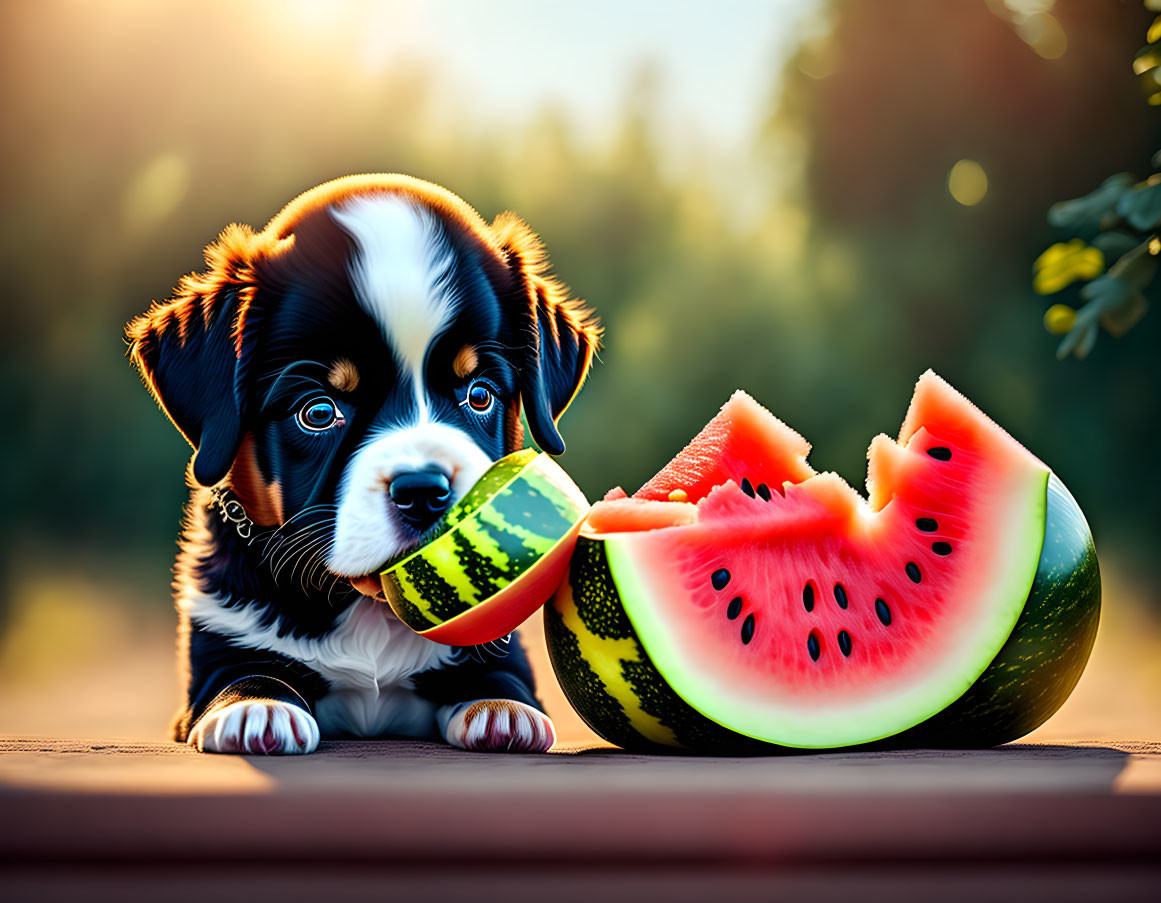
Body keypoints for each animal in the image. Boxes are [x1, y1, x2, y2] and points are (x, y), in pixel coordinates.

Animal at [124, 174, 599, 752]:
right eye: (318, 412)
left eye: (480, 395)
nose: (424, 492)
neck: (366, 611)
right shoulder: (221, 639)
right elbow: (244, 672)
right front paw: (256, 708)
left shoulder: (498, 645)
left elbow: (498, 675)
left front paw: (502, 710)